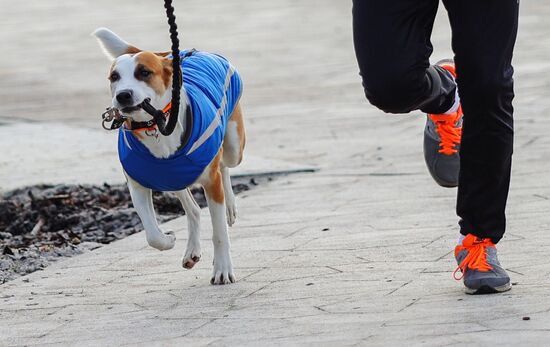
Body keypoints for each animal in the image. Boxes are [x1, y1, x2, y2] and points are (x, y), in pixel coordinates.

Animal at [94, 27, 247, 286]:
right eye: (114, 77)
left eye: (144, 72)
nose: (123, 95)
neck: (156, 125)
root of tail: (183, 53)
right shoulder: (138, 184)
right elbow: (152, 234)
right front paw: (168, 239)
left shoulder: (211, 182)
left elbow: (219, 233)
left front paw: (222, 270)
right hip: (171, 178)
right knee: (193, 209)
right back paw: (192, 250)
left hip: (234, 145)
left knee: (224, 165)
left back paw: (229, 207)